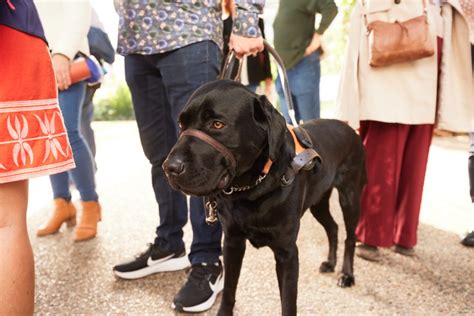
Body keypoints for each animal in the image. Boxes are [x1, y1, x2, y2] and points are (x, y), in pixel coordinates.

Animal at [163, 80, 366, 314]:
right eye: (181, 124)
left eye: (217, 124)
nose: (169, 167)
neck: (251, 189)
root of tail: (349, 127)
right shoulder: (232, 242)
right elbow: (229, 290)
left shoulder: (287, 253)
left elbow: (288, 303)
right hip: (319, 202)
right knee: (332, 227)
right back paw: (330, 263)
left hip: (350, 198)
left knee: (349, 237)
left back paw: (346, 274)